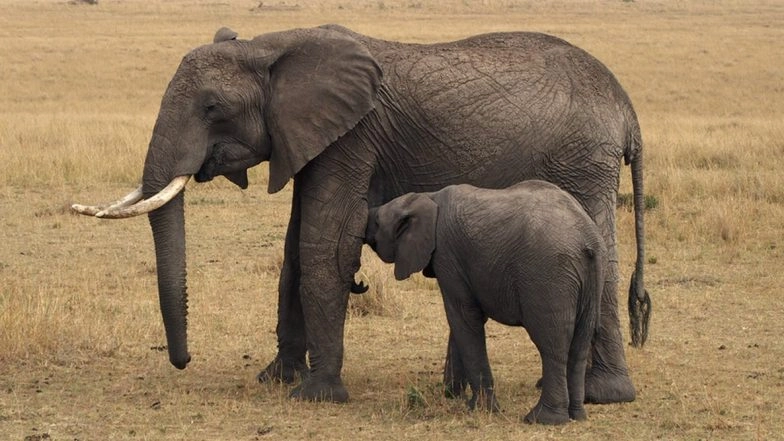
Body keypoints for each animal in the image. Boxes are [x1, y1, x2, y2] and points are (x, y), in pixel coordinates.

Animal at [364, 181, 605, 424]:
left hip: (548, 275)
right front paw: (458, 398)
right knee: (580, 342)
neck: (427, 197)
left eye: (377, 222)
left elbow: (463, 317)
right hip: (591, 279)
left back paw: (541, 419)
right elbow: (464, 320)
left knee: (552, 344)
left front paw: (480, 409)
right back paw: (577, 416)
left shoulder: (447, 255)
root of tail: (586, 240)